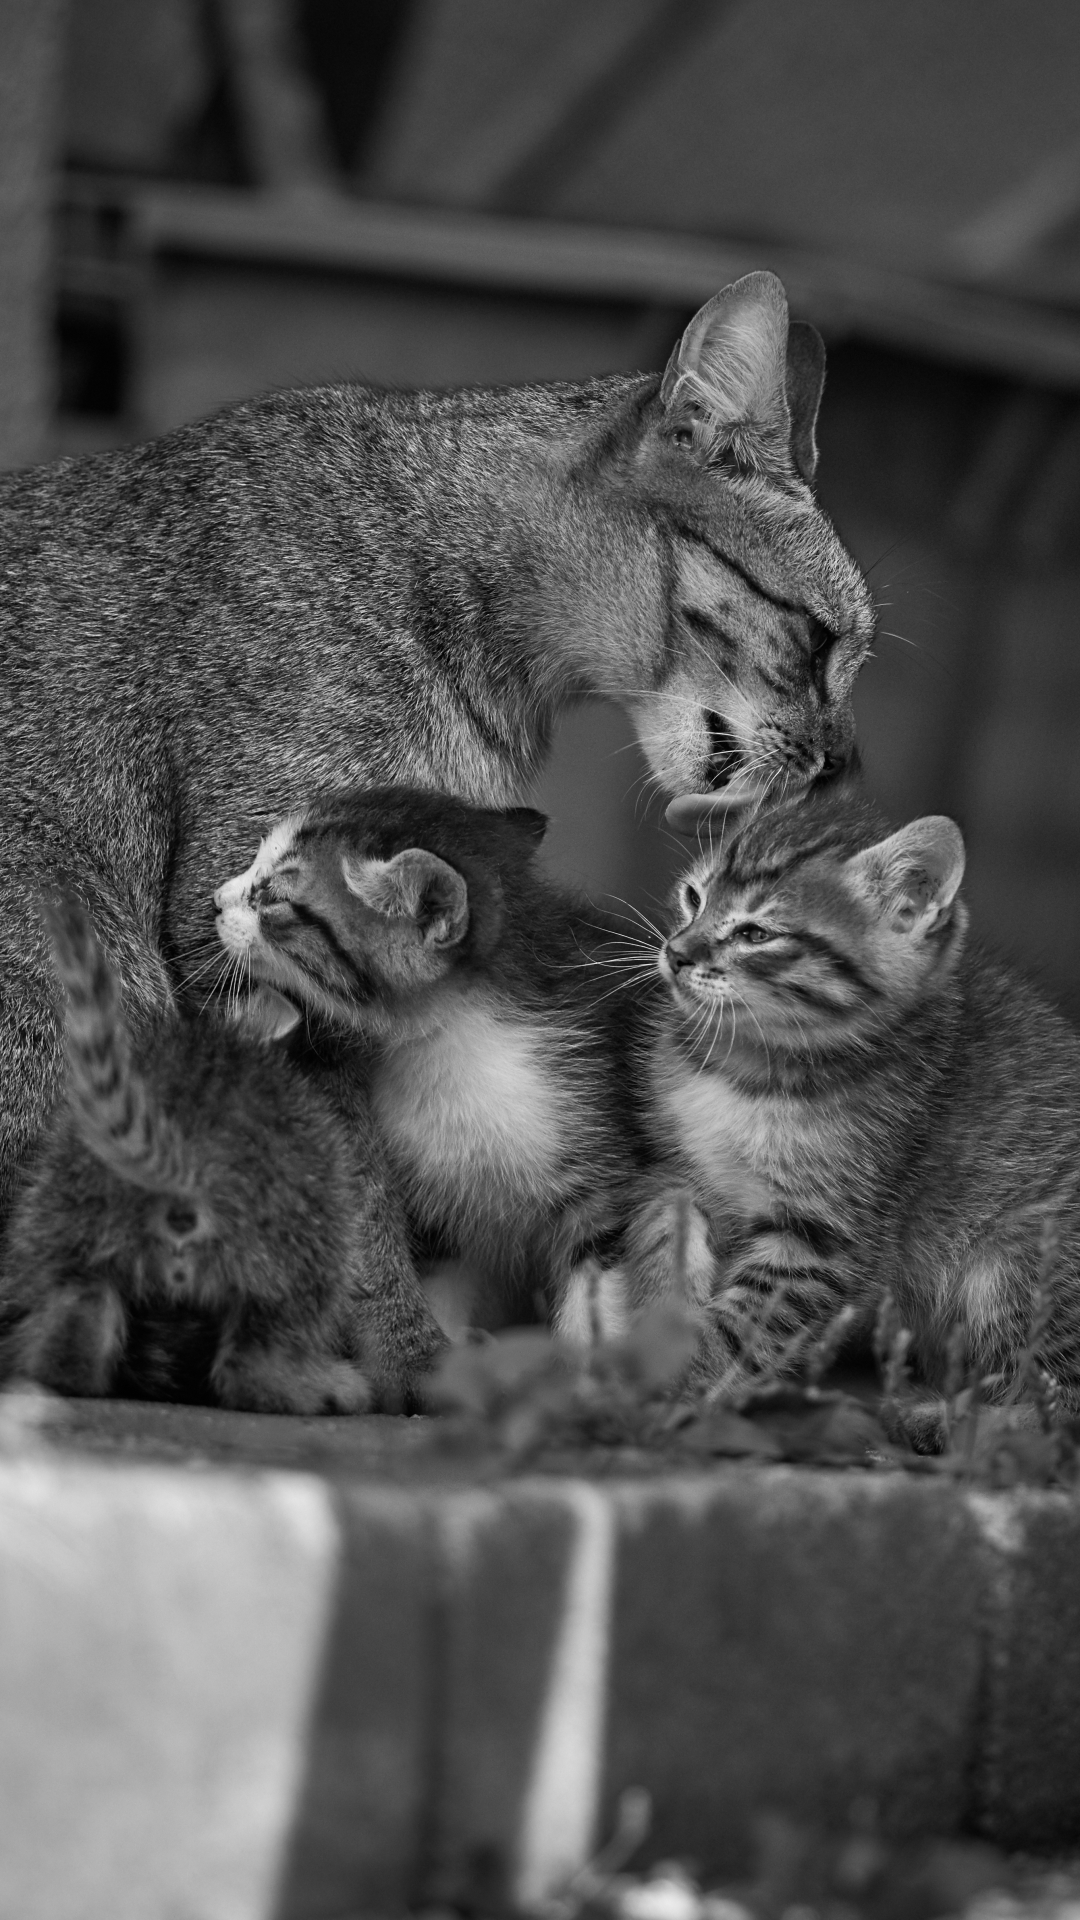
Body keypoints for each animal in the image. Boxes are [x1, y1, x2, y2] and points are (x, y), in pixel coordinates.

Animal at [214, 787, 641, 1344]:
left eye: (271, 897)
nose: (216, 899)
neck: (450, 1047)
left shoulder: (601, 1180)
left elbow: (598, 1299)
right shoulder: (436, 1208)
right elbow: (442, 1290)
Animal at [626, 787, 1076, 1420]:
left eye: (755, 935)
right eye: (693, 898)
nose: (675, 953)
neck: (751, 1066)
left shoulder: (827, 1232)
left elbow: (745, 1323)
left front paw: (669, 1385)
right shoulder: (677, 1171)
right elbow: (661, 1236)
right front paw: (655, 1329)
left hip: (1017, 1259)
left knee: (1051, 1409)